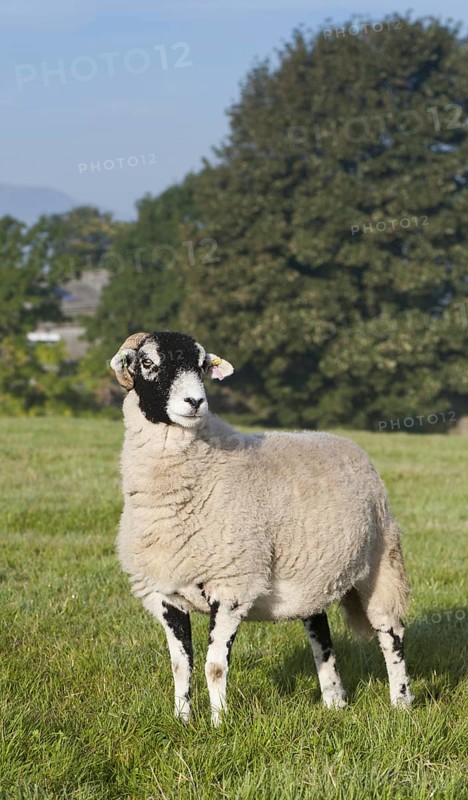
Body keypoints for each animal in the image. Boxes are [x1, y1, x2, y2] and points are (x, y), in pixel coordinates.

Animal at [110, 330, 413, 725]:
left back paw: (401, 702)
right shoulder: (164, 593)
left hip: (381, 561)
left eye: (202, 365)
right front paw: (182, 720)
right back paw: (334, 701)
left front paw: (219, 724)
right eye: (148, 362)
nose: (195, 402)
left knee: (390, 633)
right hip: (313, 574)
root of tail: (343, 441)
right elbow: (180, 665)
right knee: (321, 636)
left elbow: (214, 666)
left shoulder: (232, 585)